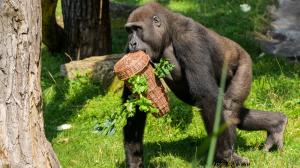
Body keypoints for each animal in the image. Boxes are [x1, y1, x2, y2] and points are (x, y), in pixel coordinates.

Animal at [121, 2, 286, 167]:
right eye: (129, 31)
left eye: (137, 29)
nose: (132, 43)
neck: (168, 32)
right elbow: (134, 103)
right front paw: (135, 161)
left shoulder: (190, 39)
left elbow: (207, 97)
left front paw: (225, 155)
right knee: (235, 112)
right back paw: (276, 124)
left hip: (245, 63)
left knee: (229, 107)